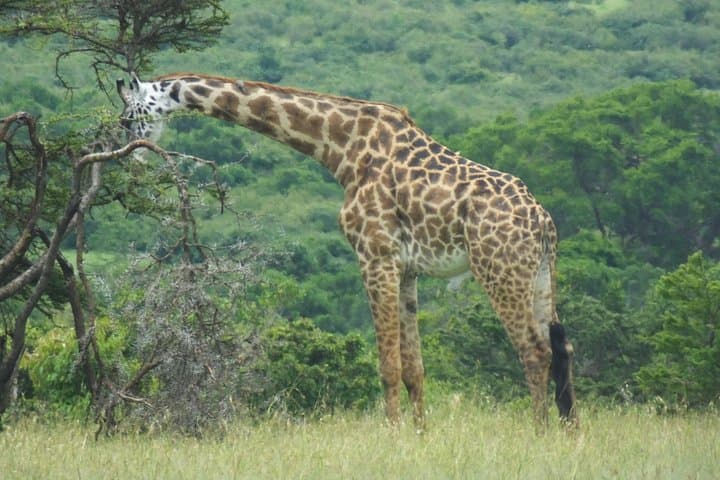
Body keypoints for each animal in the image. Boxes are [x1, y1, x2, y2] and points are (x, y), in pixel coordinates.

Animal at [116, 72, 577, 430]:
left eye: (127, 116)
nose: (131, 160)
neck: (341, 147)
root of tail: (543, 222)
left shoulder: (373, 254)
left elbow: (388, 367)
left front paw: (392, 436)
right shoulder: (405, 267)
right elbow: (414, 369)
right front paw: (420, 435)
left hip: (498, 269)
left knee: (534, 351)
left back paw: (538, 432)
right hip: (538, 274)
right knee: (561, 346)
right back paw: (569, 429)